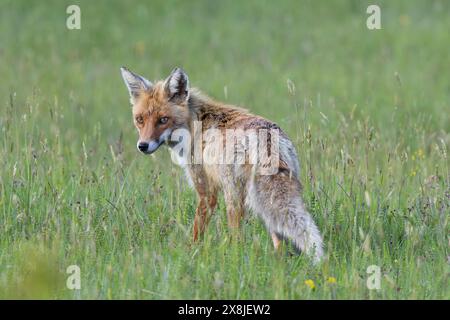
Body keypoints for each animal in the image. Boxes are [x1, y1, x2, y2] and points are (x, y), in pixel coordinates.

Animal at [119, 65, 324, 262]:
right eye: (140, 120)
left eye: (163, 120)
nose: (143, 146)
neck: (195, 125)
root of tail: (265, 135)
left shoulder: (207, 192)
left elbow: (197, 231)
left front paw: (191, 254)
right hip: (264, 200)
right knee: (278, 238)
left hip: (234, 198)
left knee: (238, 238)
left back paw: (235, 259)